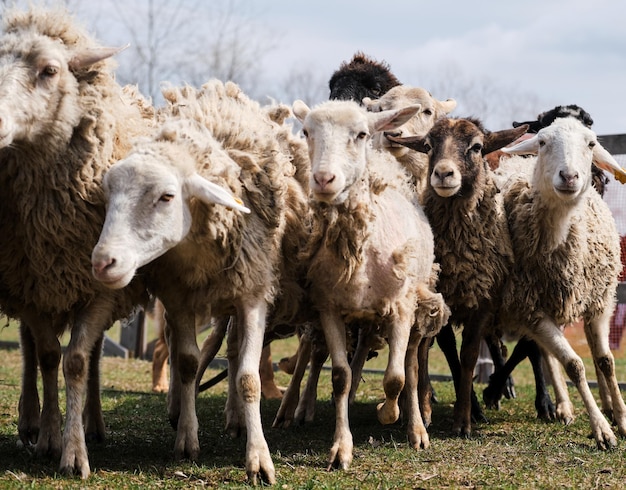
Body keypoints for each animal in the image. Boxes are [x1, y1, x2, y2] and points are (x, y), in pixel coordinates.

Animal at [0, 6, 152, 478]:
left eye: (50, 70)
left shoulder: (100, 286)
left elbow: (78, 361)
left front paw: (75, 451)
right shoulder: (27, 282)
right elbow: (48, 355)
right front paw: (50, 437)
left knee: (97, 352)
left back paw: (94, 422)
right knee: (30, 349)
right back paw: (31, 421)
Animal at [89, 78, 308, 484]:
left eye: (167, 196)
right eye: (108, 195)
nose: (103, 261)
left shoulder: (253, 294)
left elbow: (249, 377)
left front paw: (258, 458)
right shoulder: (178, 295)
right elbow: (189, 362)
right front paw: (187, 439)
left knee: (234, 351)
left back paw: (236, 418)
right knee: (176, 348)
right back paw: (177, 405)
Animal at [290, 97, 446, 468]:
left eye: (361, 133)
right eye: (307, 132)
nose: (323, 179)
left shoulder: (401, 308)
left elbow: (395, 379)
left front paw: (388, 413)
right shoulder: (329, 308)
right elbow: (341, 377)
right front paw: (341, 448)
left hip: (417, 303)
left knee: (410, 368)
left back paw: (416, 429)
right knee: (359, 356)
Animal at [500, 117, 624, 448]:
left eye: (591, 144)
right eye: (542, 142)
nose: (569, 176)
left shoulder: (600, 302)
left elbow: (605, 360)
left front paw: (621, 417)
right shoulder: (530, 309)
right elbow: (574, 365)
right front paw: (602, 430)